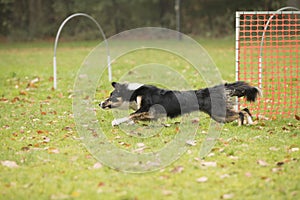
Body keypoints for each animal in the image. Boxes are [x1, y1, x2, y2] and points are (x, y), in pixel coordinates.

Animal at [99, 80, 262, 126]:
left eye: (111, 96)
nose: (99, 104)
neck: (133, 93)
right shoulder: (150, 114)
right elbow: (134, 116)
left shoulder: (146, 108)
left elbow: (131, 114)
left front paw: (116, 122)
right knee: (245, 109)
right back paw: (250, 122)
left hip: (219, 114)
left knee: (241, 112)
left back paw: (243, 123)